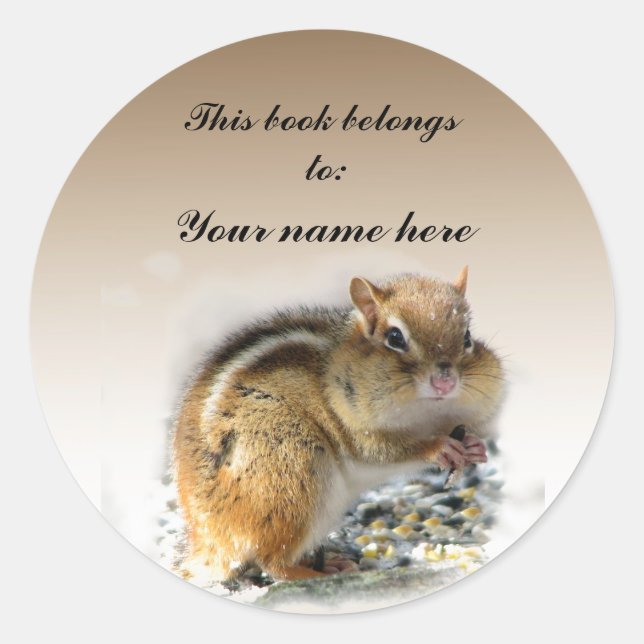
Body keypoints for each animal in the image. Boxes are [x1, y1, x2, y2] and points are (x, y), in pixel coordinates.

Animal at [173, 267, 505, 582]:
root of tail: (208, 541)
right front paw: (439, 447)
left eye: (467, 337)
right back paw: (316, 573)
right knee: (272, 563)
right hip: (290, 468)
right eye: (395, 338)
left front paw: (474, 446)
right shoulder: (354, 426)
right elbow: (383, 451)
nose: (445, 382)